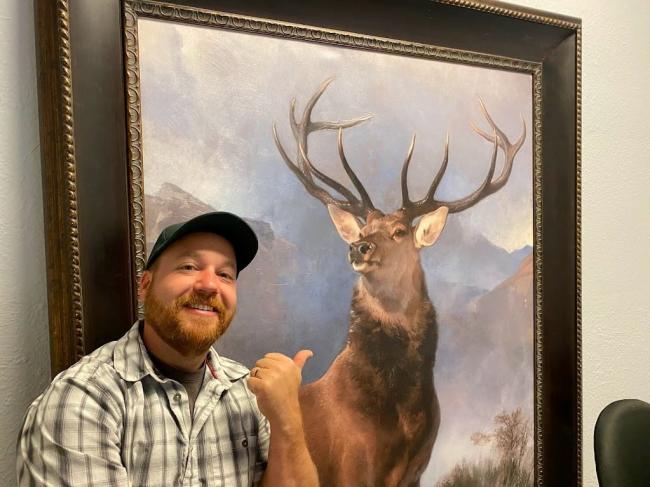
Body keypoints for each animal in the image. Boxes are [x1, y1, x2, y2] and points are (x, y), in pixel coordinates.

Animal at [270, 80, 524, 487]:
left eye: (400, 231)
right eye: (362, 230)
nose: (358, 247)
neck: (402, 417)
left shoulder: (415, 470)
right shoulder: (352, 466)